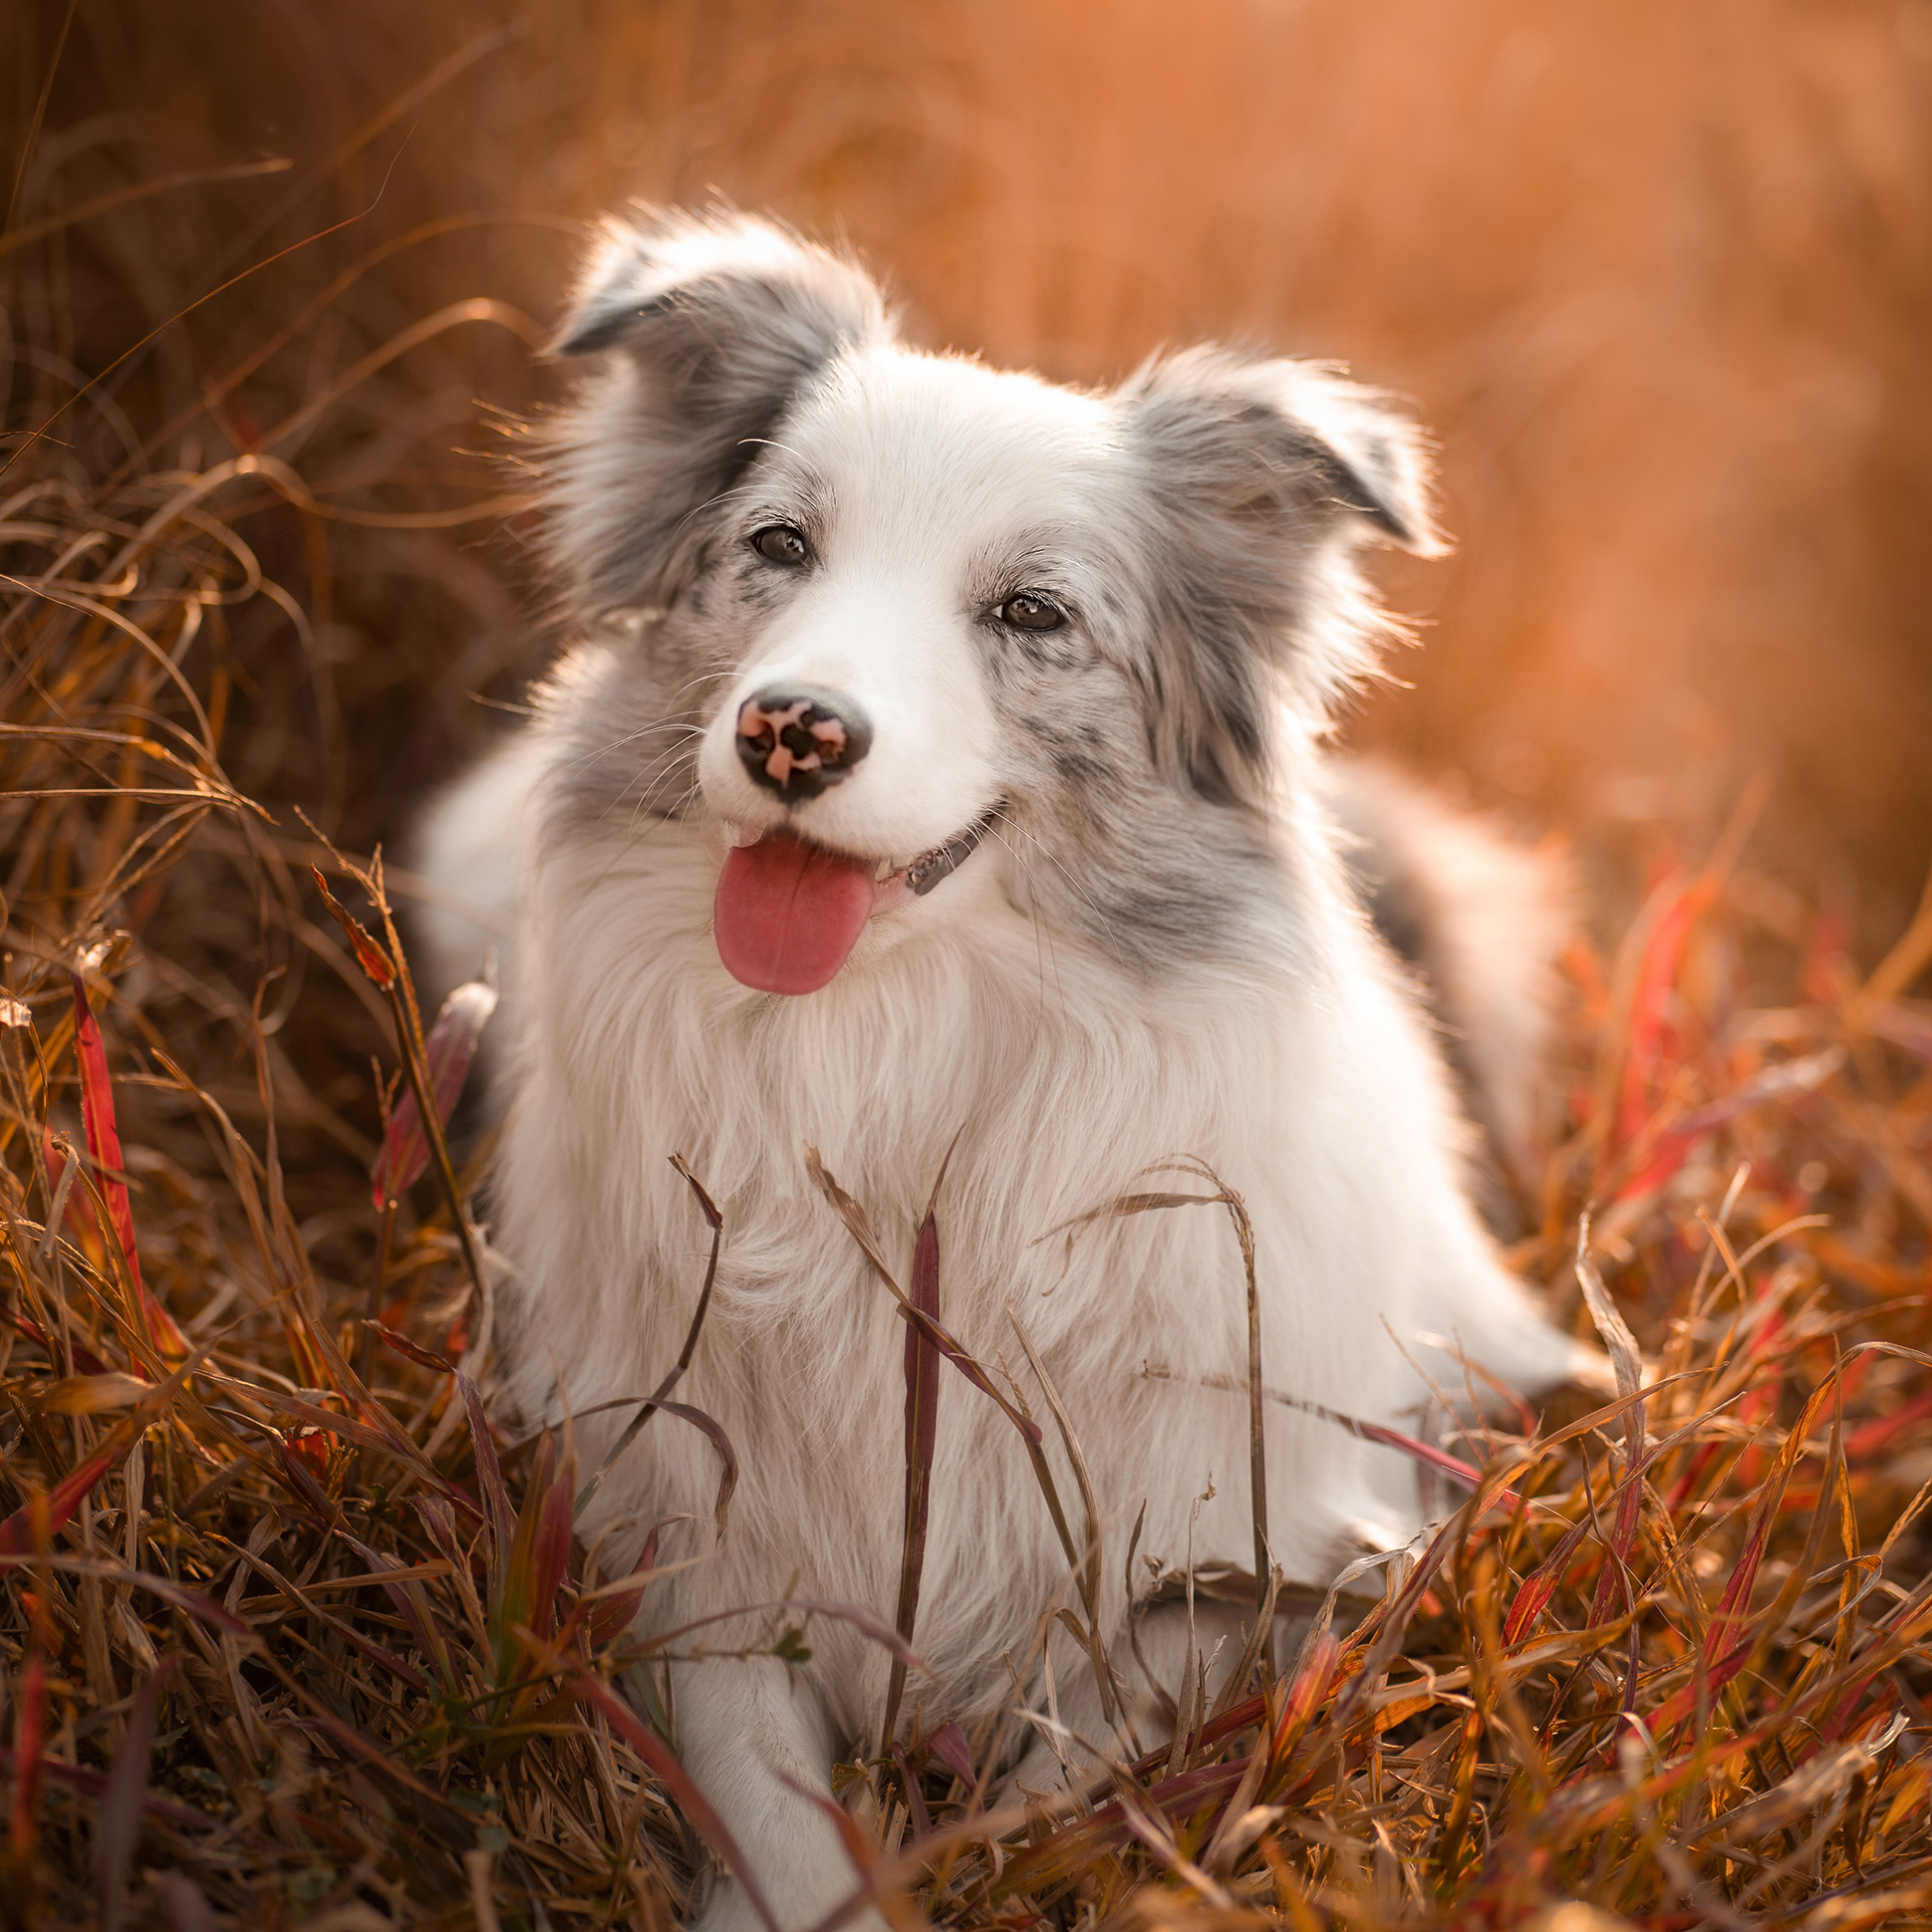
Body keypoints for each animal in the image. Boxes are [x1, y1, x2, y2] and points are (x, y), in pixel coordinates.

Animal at [414, 211, 1607, 1932]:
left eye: (1033, 615)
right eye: (779, 544)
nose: (789, 729)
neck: (888, 1060)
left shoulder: (1308, 1537)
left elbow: (1072, 1758)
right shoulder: (685, 1514)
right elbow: (765, 1773)